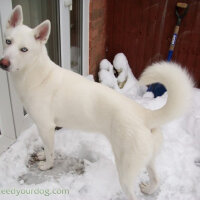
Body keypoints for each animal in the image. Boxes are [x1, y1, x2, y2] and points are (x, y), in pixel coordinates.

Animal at [0, 5, 194, 200]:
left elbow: (50, 151)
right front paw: (42, 155)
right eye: (8, 41)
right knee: (156, 179)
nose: (3, 63)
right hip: (148, 160)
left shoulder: (46, 127)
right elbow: (47, 149)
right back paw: (149, 189)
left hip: (126, 171)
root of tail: (144, 114)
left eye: (24, 49)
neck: (36, 73)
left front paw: (47, 165)